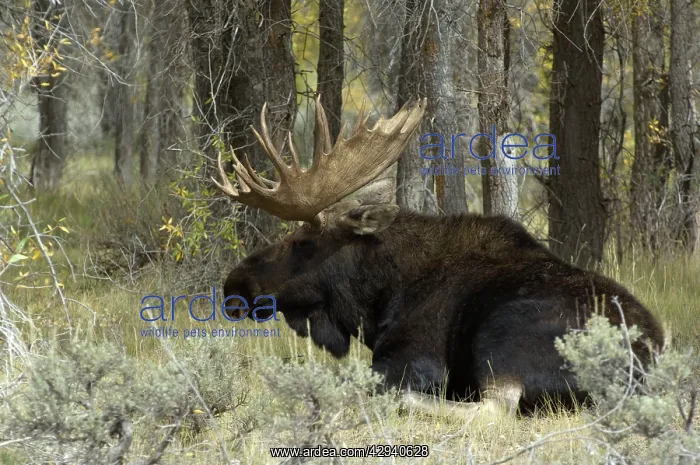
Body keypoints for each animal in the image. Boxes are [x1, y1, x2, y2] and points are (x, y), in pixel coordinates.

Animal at [212, 96, 665, 420]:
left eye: (303, 242)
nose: (234, 285)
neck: (379, 299)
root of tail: (644, 366)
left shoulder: (412, 359)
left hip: (504, 334)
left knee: (494, 410)